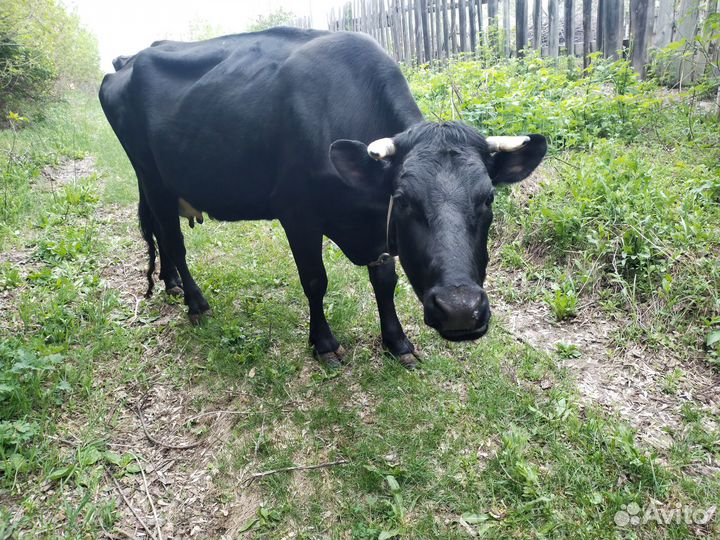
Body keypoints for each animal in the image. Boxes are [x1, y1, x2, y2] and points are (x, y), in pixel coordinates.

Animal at [99, 27, 546, 369]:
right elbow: (315, 281)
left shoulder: (376, 231)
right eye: (404, 199)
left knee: (160, 231)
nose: (459, 310)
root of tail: (129, 60)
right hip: (152, 176)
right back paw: (196, 303)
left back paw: (171, 284)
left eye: (487, 199)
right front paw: (325, 344)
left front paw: (397, 342)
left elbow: (385, 280)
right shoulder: (298, 214)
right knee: (173, 240)